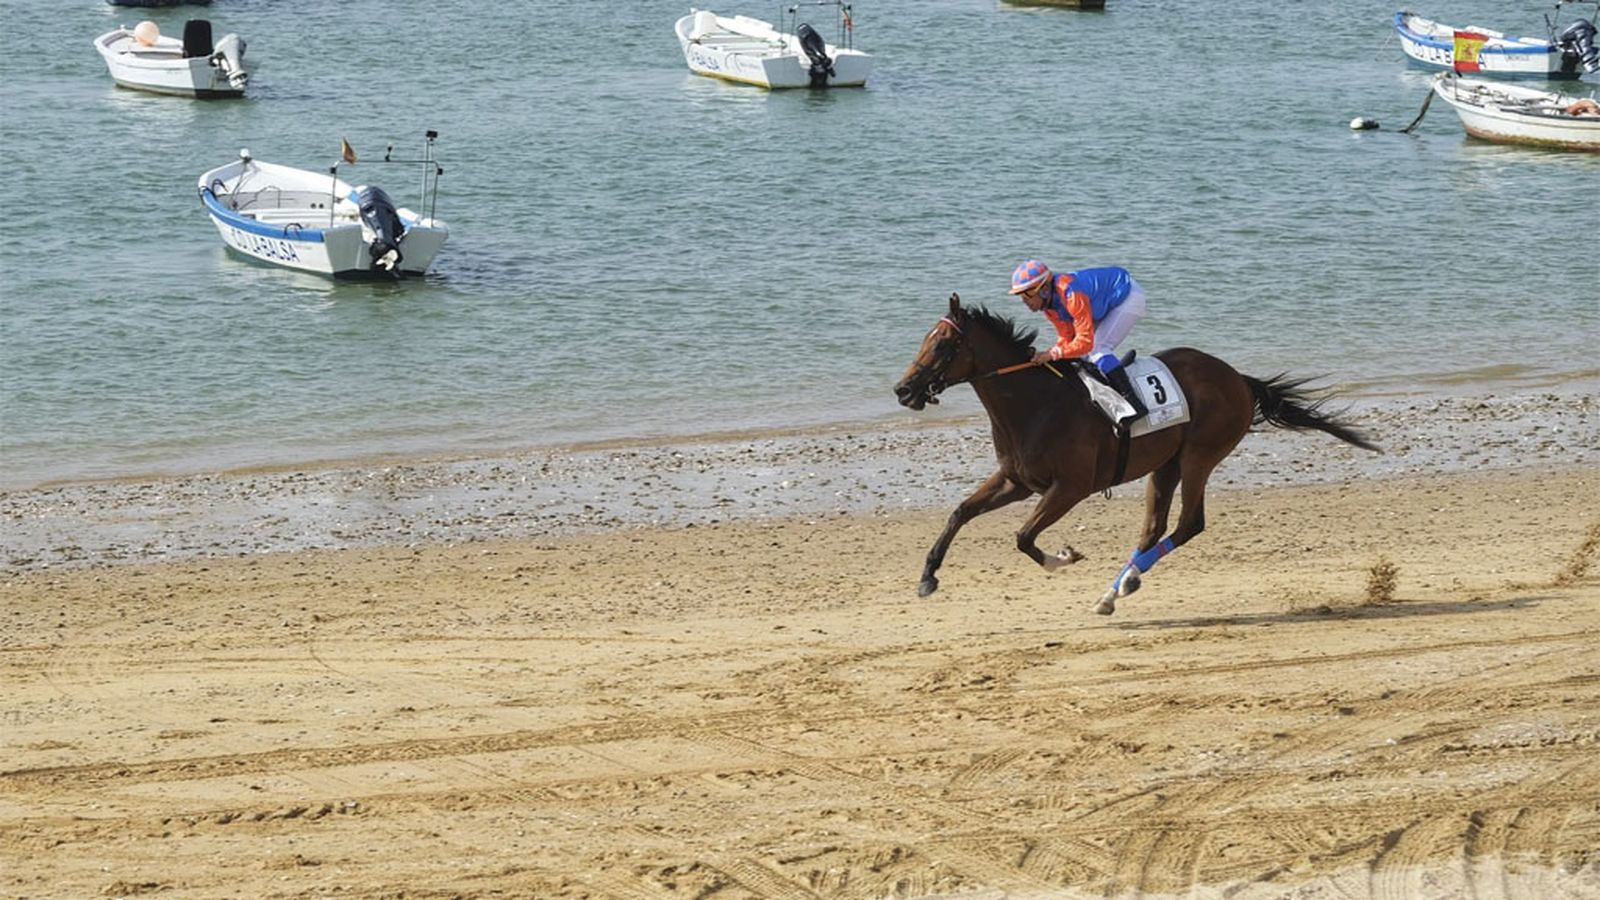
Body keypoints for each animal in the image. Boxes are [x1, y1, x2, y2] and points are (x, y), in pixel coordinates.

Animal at [893, 293, 1379, 615]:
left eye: (942, 345)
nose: (903, 390)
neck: (1036, 404)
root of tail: (1238, 378)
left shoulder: (1070, 487)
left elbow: (1024, 537)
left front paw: (1064, 557)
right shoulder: (1017, 481)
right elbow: (960, 512)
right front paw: (927, 577)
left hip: (1199, 456)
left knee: (1189, 524)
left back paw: (1119, 586)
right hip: (1164, 466)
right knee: (1153, 529)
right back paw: (1117, 589)